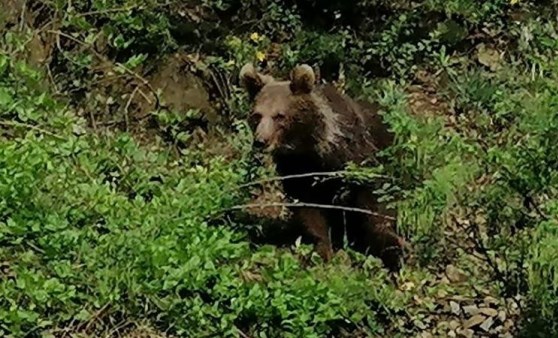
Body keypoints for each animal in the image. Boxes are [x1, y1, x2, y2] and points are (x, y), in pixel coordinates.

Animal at [240, 62, 406, 270]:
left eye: (279, 116)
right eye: (256, 115)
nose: (261, 141)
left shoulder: (357, 159)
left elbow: (374, 200)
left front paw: (393, 249)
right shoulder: (297, 172)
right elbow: (311, 213)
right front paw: (321, 251)